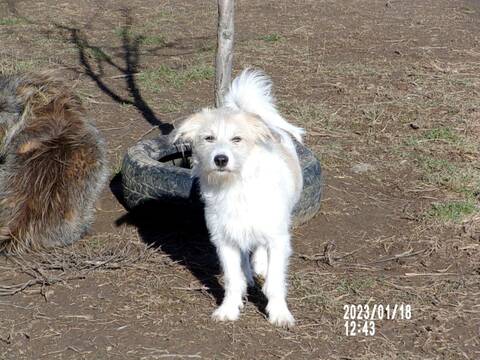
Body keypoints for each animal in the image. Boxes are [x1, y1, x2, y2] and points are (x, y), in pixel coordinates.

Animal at [172, 69, 304, 328]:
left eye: (237, 139)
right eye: (208, 138)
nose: (220, 159)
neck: (236, 186)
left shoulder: (278, 239)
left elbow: (275, 282)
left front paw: (279, 313)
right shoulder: (224, 241)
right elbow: (233, 280)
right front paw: (229, 309)